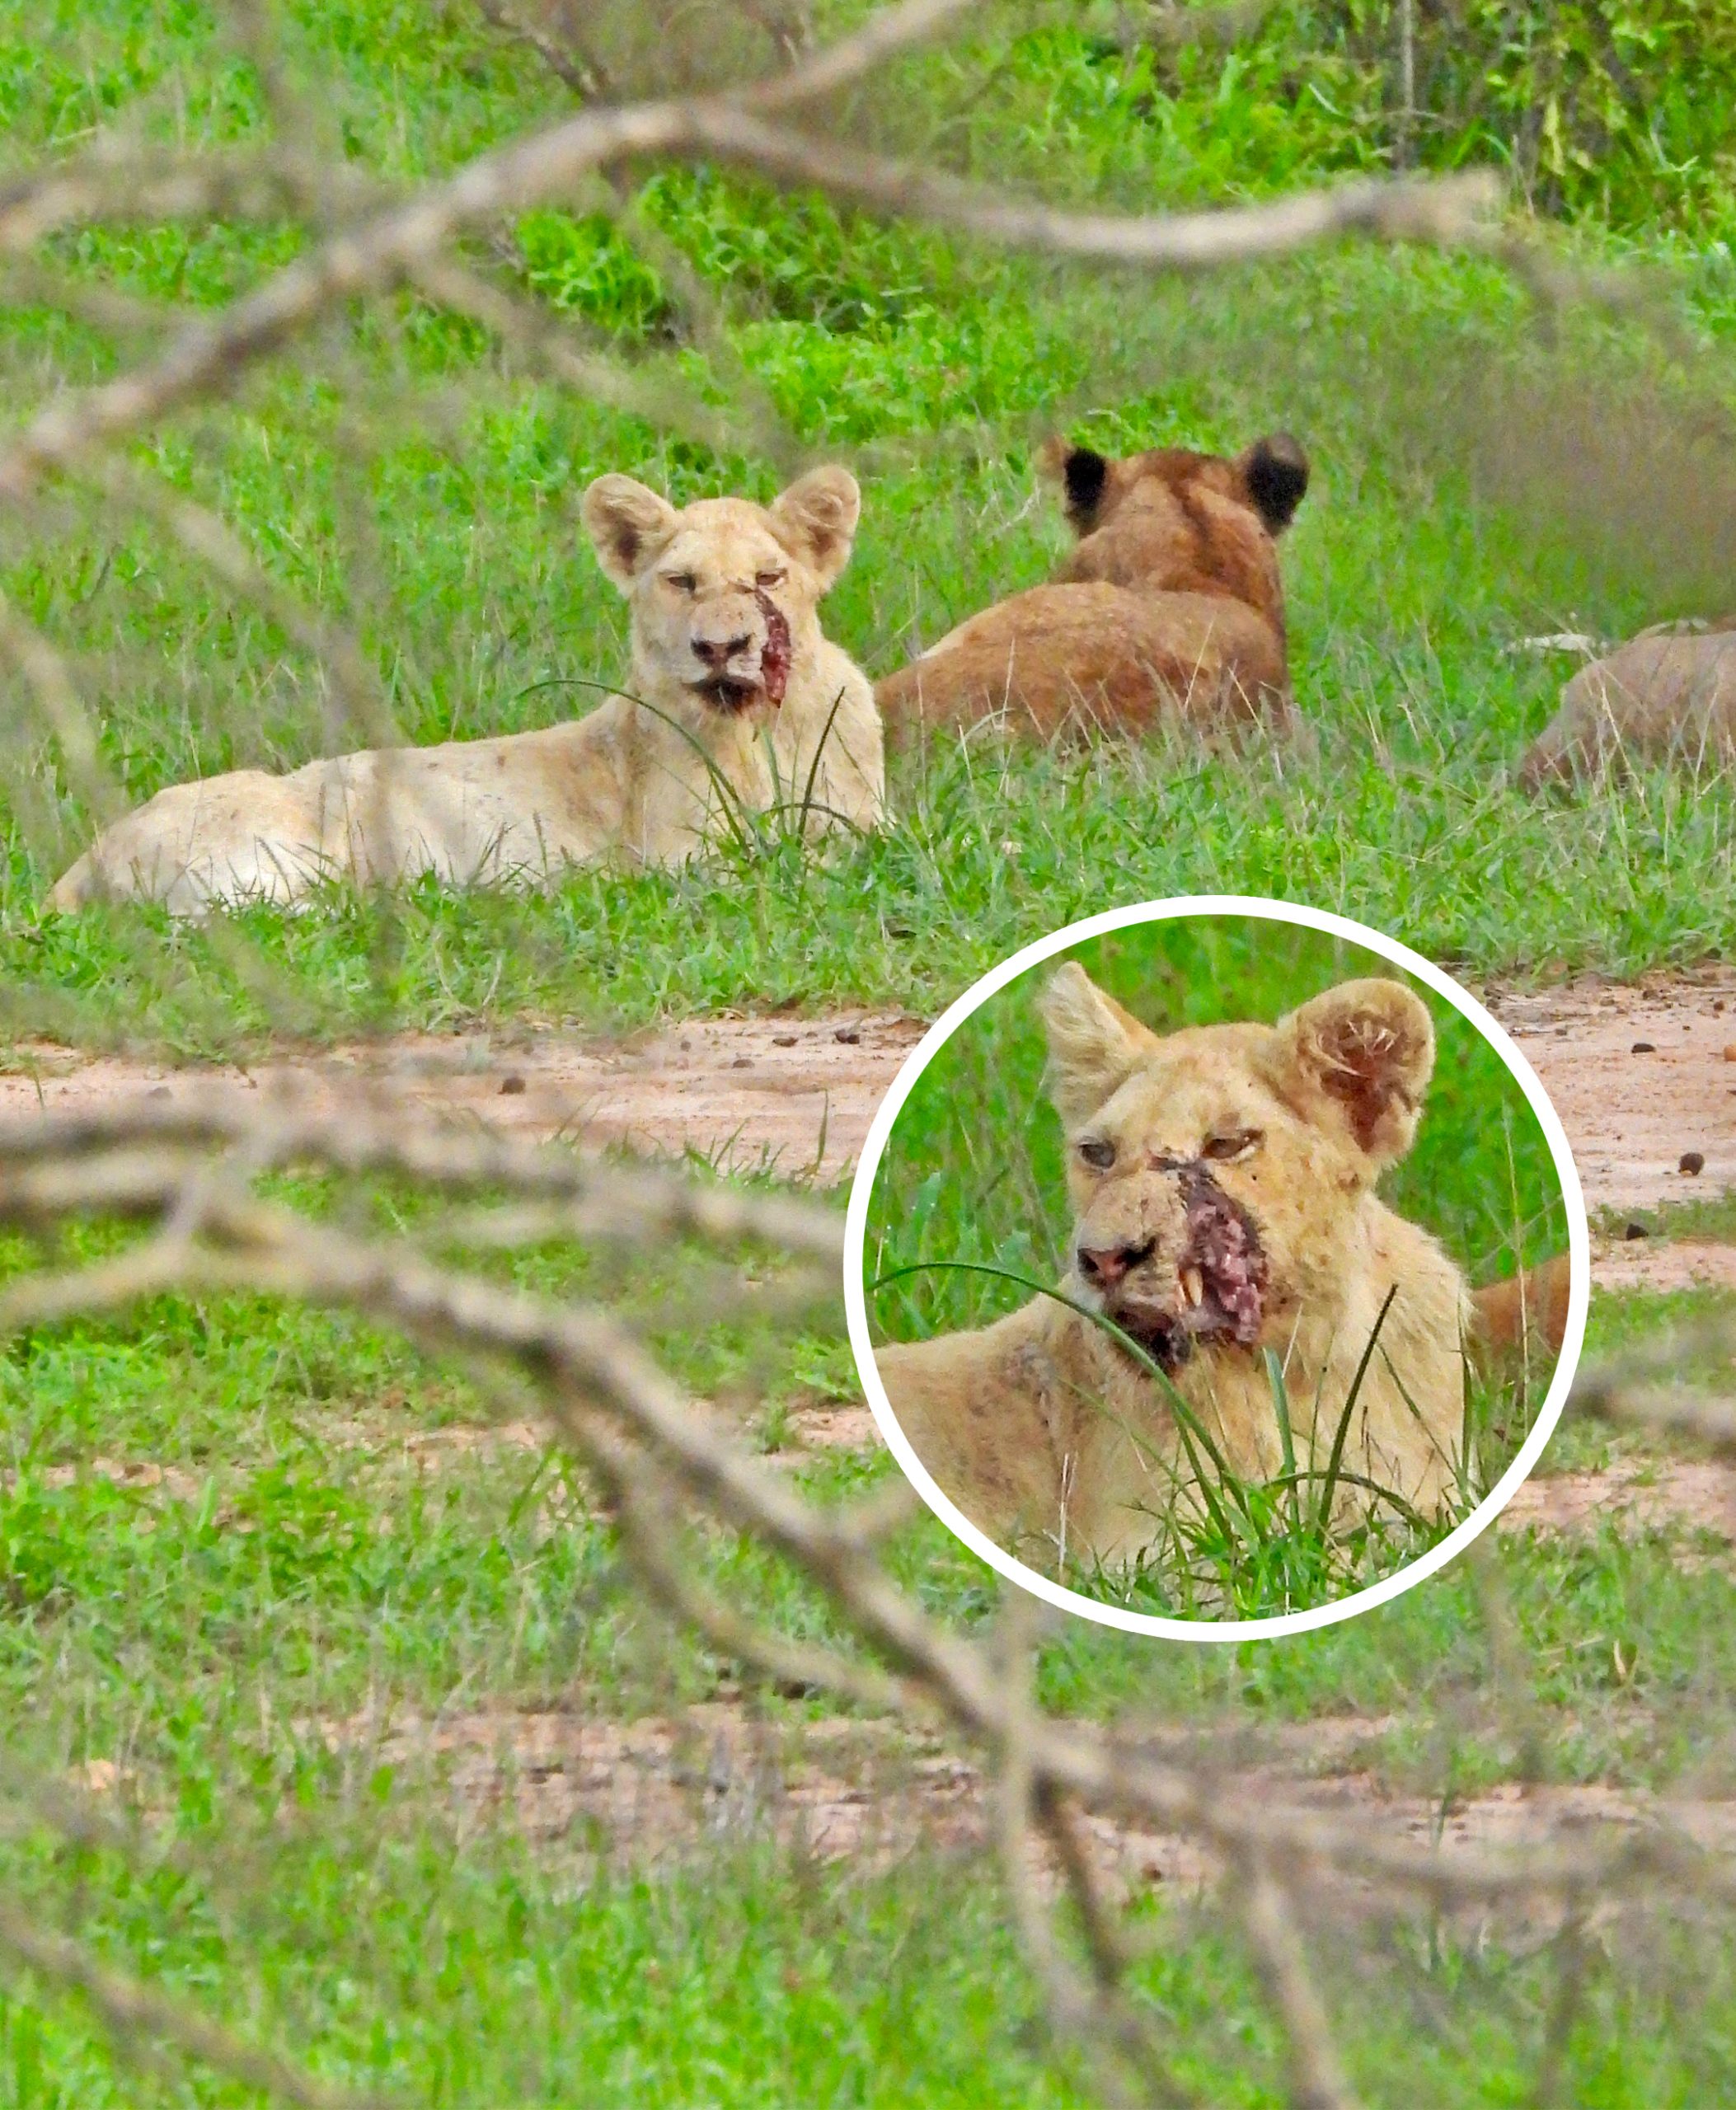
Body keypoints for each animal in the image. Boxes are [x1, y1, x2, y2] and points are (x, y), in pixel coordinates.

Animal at [47, 470, 889, 916]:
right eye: (682, 582)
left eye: (768, 578)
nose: (721, 648)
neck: (759, 732)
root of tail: (88, 856)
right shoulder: (681, 861)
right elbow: (787, 868)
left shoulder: (865, 819)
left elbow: (858, 849)